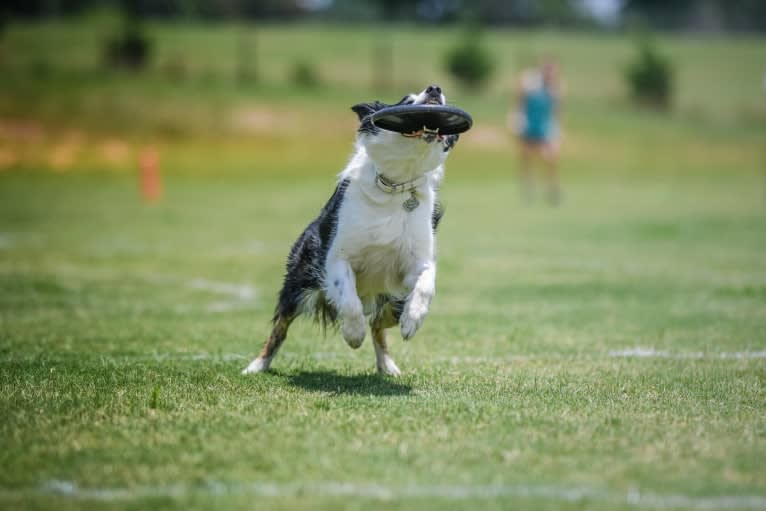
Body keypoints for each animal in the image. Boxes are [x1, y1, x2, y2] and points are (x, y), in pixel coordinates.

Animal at [244, 86, 462, 376]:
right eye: (406, 100)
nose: (435, 88)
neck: (395, 184)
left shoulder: (418, 261)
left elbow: (427, 284)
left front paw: (413, 320)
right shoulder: (336, 257)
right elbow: (348, 300)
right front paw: (353, 334)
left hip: (392, 301)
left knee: (378, 326)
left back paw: (387, 365)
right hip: (299, 282)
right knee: (281, 326)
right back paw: (257, 365)